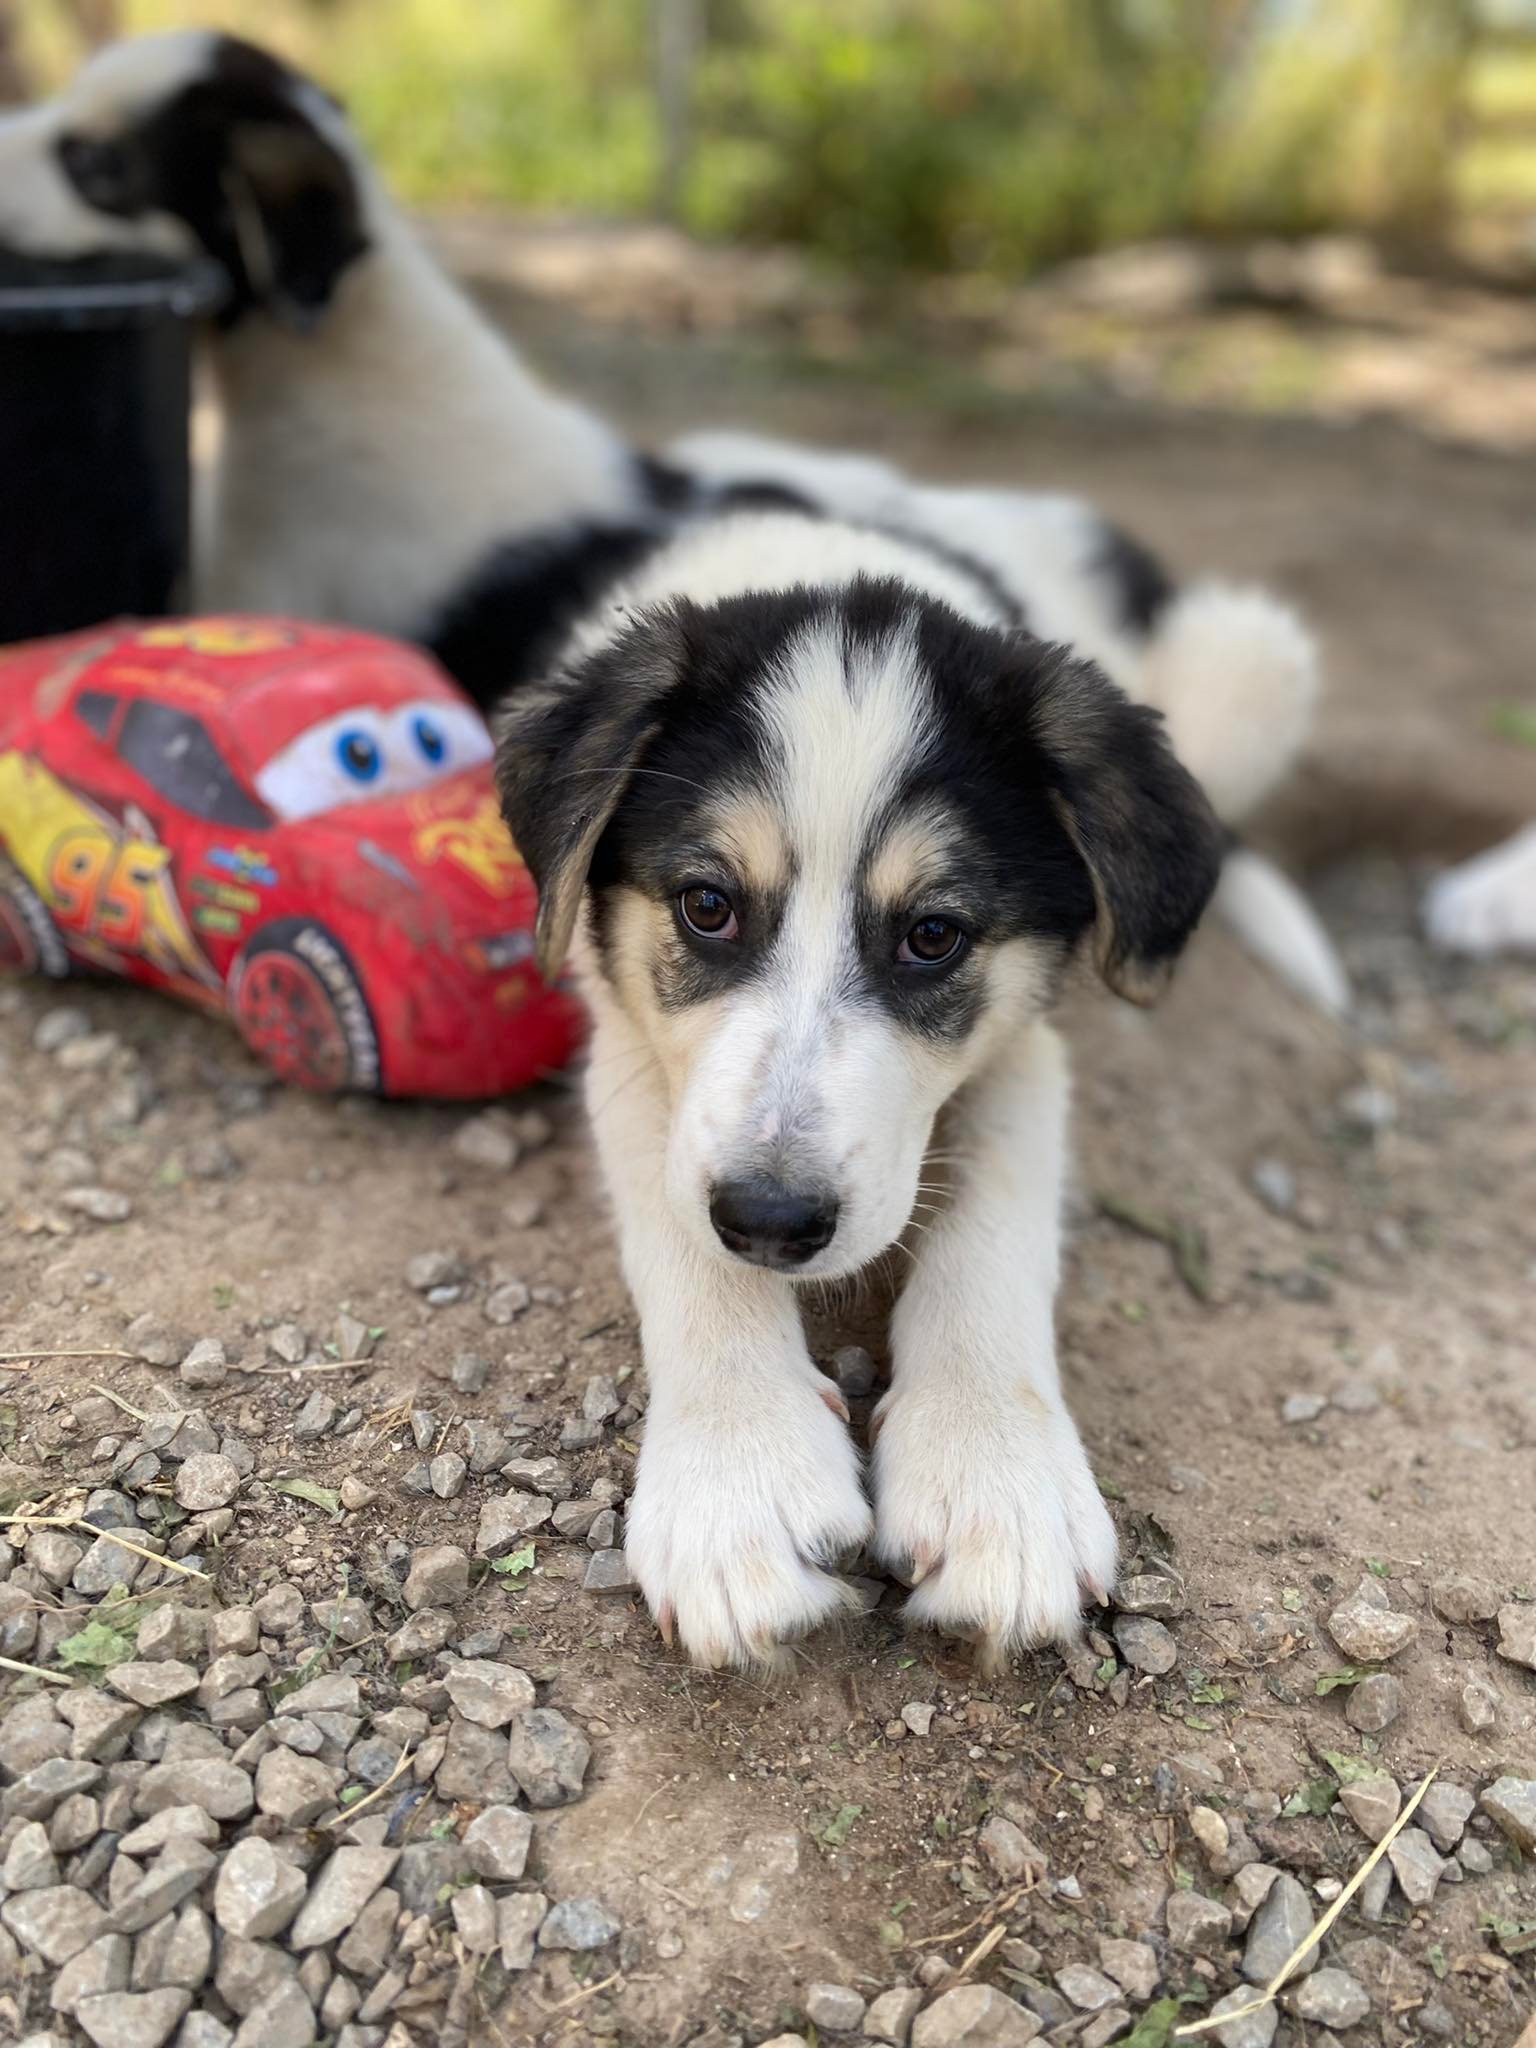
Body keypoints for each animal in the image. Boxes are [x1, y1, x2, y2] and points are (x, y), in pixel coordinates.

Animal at [495, 503, 1236, 1671]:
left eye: (933, 935)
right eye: (707, 905)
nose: (770, 1221)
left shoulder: (1024, 1048)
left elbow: (995, 1225)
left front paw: (998, 1483)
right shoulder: (627, 1046)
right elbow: (678, 1234)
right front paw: (738, 1483)